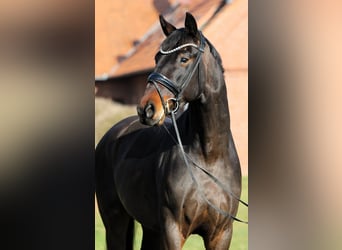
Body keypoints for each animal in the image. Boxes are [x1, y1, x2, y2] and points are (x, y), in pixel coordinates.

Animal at [95, 12, 242, 249]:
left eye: (184, 58)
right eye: (156, 58)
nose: (146, 108)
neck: (209, 156)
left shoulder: (221, 234)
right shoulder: (173, 230)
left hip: (151, 229)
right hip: (115, 222)